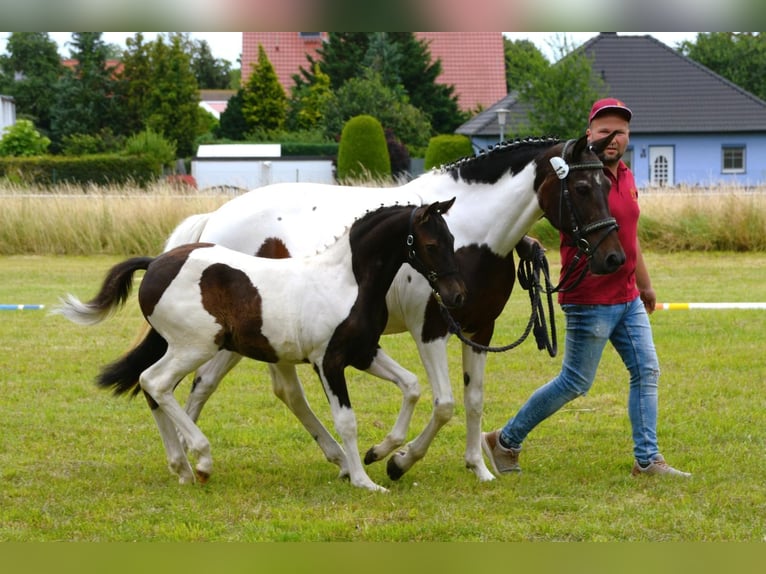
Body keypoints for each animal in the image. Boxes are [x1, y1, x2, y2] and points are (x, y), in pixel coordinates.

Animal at [55, 200, 468, 492]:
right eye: (431, 243)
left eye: (452, 241)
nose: (456, 296)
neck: (347, 280)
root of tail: (157, 263)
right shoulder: (329, 362)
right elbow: (347, 421)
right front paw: (365, 480)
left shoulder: (364, 353)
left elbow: (411, 385)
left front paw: (383, 452)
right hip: (194, 347)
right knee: (155, 383)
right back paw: (201, 460)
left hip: (188, 349)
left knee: (155, 389)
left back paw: (183, 468)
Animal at [165, 133, 628, 484]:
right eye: (582, 188)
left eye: (608, 185)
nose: (613, 258)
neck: (471, 233)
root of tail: (215, 218)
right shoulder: (431, 330)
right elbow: (443, 403)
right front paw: (394, 458)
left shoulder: (479, 331)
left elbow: (473, 400)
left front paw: (478, 468)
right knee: (210, 385)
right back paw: (191, 458)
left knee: (253, 388)